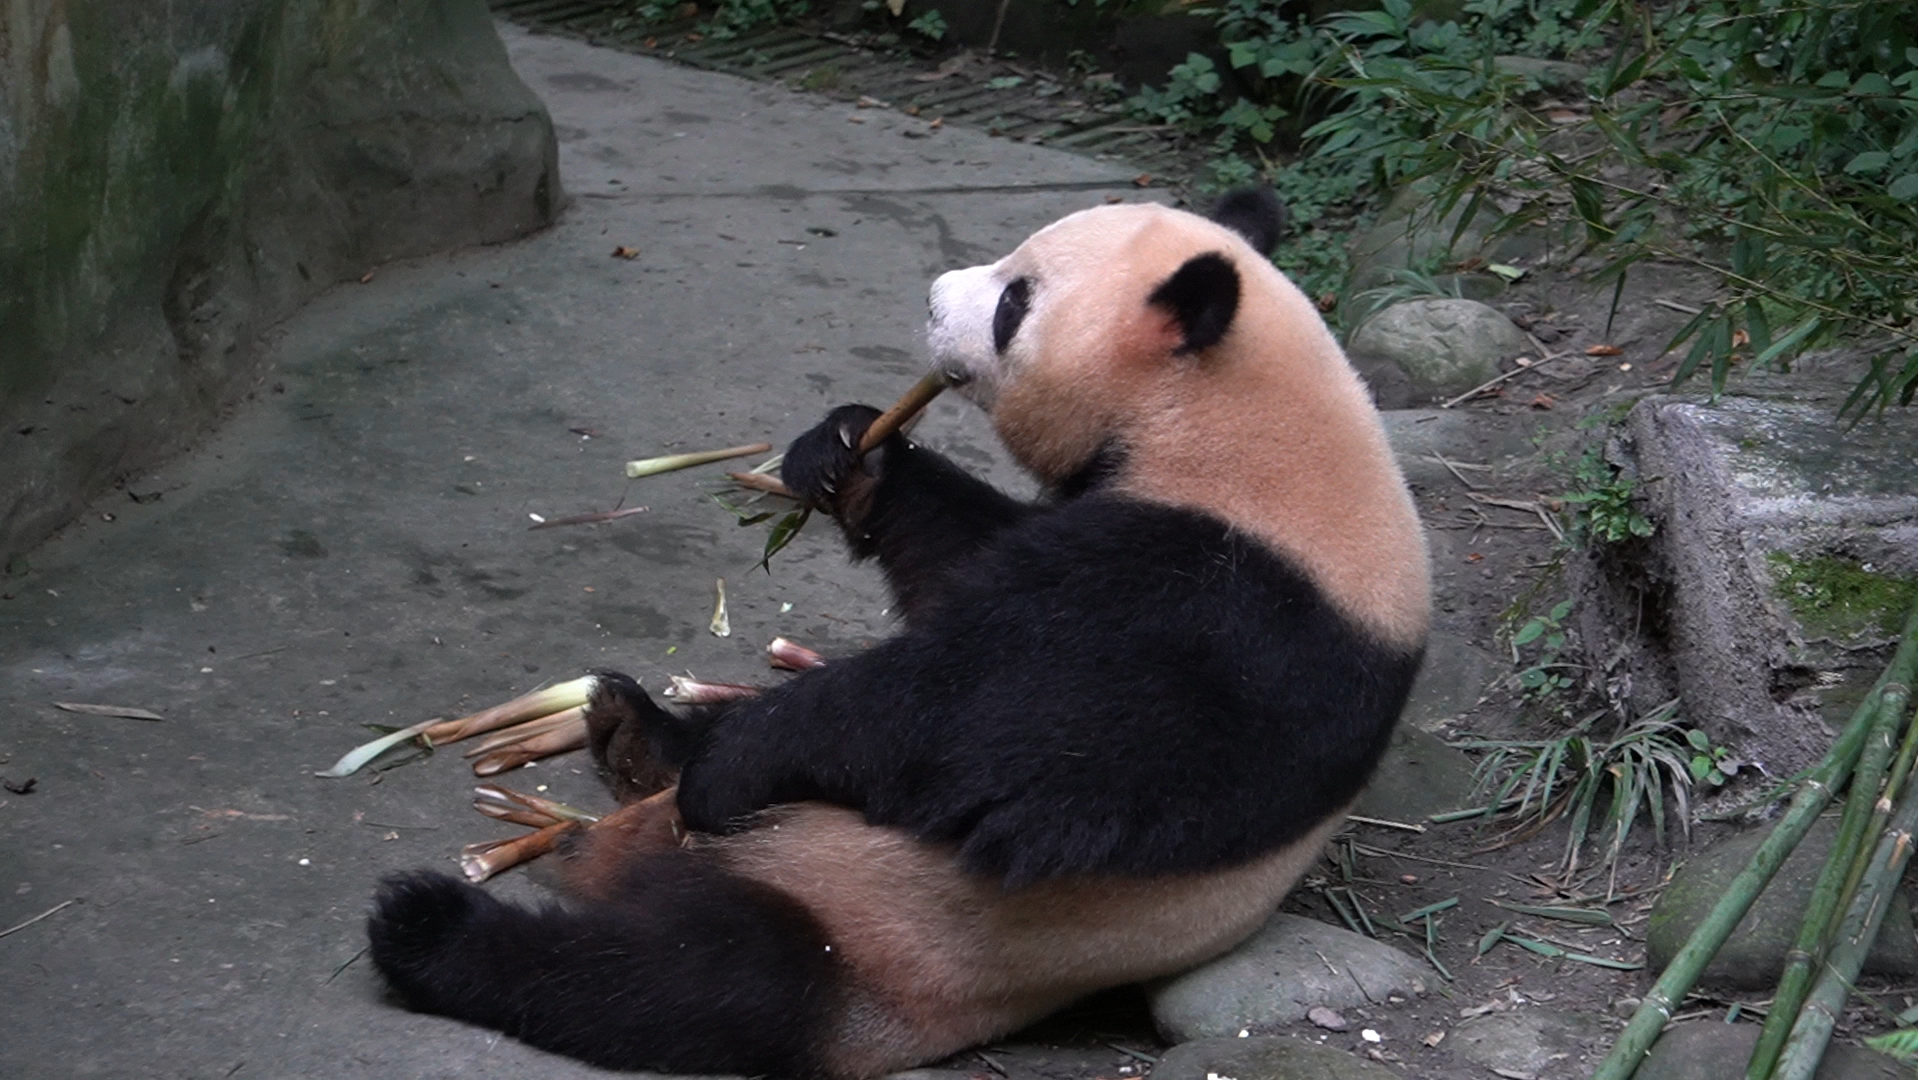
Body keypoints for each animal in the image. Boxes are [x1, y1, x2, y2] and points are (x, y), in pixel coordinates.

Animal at [366, 189, 1434, 1074]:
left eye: (1013, 302)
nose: (930, 297)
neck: (1241, 427)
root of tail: (624, 859)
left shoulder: (1231, 620)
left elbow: (985, 728)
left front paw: (735, 767)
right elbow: (961, 558)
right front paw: (849, 451)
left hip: (872, 935)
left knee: (686, 982)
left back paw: (435, 926)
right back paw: (633, 730)